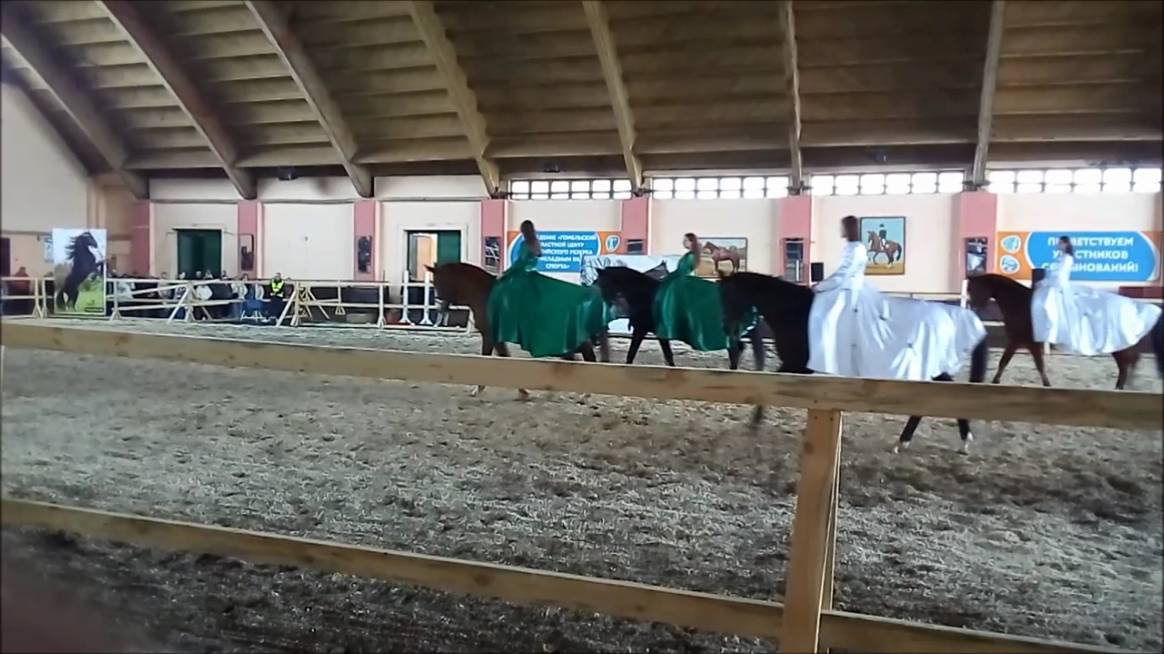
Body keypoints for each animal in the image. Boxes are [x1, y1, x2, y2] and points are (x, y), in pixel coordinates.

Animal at [426, 262, 610, 398]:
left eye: (439, 282)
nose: (440, 308)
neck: (485, 295)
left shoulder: (490, 336)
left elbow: (489, 357)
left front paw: (478, 389)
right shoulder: (496, 338)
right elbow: (505, 357)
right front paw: (522, 391)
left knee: (587, 357)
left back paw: (585, 392)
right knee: (574, 359)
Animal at [591, 266, 762, 368]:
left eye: (600, 282)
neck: (646, 295)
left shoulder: (642, 330)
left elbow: (632, 354)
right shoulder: (655, 333)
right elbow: (667, 357)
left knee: (735, 349)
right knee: (737, 348)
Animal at [965, 274, 1163, 389]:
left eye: (975, 288)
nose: (973, 308)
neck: (1021, 304)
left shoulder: (1027, 343)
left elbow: (1038, 365)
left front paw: (1047, 385)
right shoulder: (1017, 341)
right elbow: (1005, 362)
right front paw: (995, 382)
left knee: (1124, 365)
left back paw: (1119, 388)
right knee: (1127, 364)